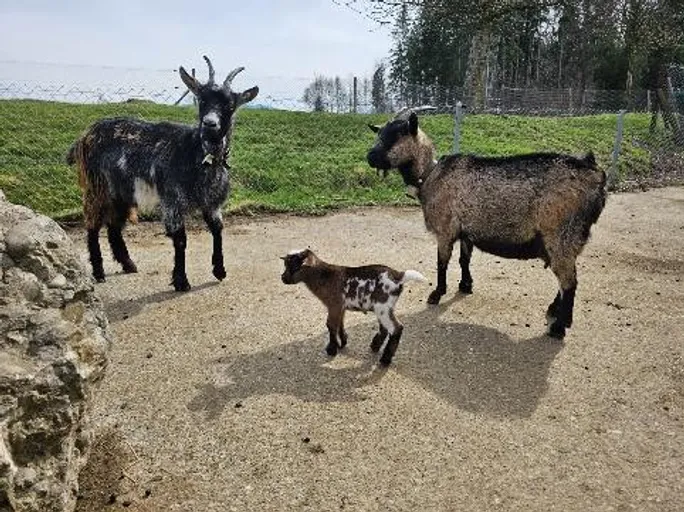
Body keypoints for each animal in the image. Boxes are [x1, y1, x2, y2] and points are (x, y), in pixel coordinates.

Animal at [66, 56, 258, 291]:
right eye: (201, 100)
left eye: (229, 105)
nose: (209, 124)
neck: (196, 152)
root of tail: (84, 136)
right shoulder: (172, 200)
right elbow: (181, 239)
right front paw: (181, 281)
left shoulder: (211, 203)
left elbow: (218, 229)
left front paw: (219, 270)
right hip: (98, 186)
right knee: (93, 225)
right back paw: (99, 272)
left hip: (122, 191)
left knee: (113, 226)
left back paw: (128, 264)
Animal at [280, 249, 426, 366]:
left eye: (293, 267)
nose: (282, 278)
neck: (324, 276)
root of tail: (398, 275)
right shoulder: (340, 307)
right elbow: (339, 324)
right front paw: (342, 342)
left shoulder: (334, 304)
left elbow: (330, 325)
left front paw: (331, 349)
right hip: (384, 308)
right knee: (385, 328)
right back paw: (375, 346)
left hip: (383, 306)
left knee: (396, 328)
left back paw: (385, 360)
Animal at [366, 110, 607, 339]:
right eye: (380, 133)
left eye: (395, 136)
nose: (369, 157)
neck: (429, 176)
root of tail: (597, 178)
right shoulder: (466, 231)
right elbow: (464, 259)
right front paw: (465, 286)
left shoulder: (445, 229)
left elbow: (442, 262)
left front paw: (437, 293)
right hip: (569, 239)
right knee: (565, 279)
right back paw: (555, 311)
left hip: (561, 234)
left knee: (569, 282)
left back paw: (558, 327)